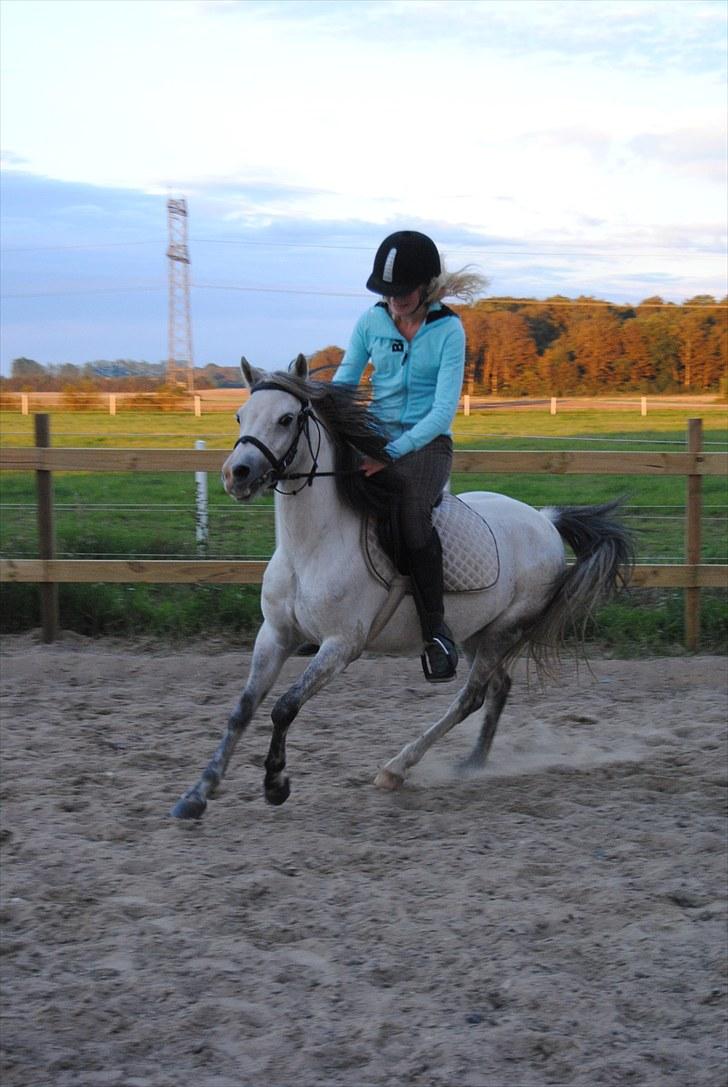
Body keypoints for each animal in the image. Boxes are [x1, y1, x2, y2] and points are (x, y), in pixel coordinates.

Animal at [171, 353, 633, 818]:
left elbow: (285, 707)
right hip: (475, 632)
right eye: (240, 415)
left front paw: (275, 784)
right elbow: (243, 709)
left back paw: (398, 767)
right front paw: (196, 794)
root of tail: (546, 518)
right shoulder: (275, 636)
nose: (237, 474)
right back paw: (473, 762)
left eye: (286, 419)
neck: (309, 548)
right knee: (498, 688)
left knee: (471, 696)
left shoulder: (342, 646)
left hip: (503, 630)